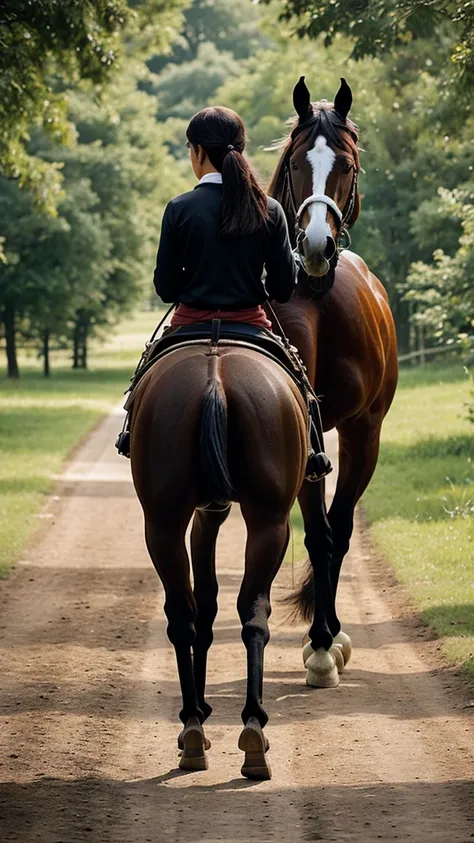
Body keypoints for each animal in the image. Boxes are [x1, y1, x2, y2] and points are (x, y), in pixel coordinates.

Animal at [130, 338, 310, 780]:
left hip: (163, 522)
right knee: (251, 614)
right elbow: (210, 603)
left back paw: (196, 727)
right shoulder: (212, 509)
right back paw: (248, 727)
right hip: (270, 521)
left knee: (185, 617)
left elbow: (205, 604)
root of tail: (215, 376)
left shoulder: (207, 510)